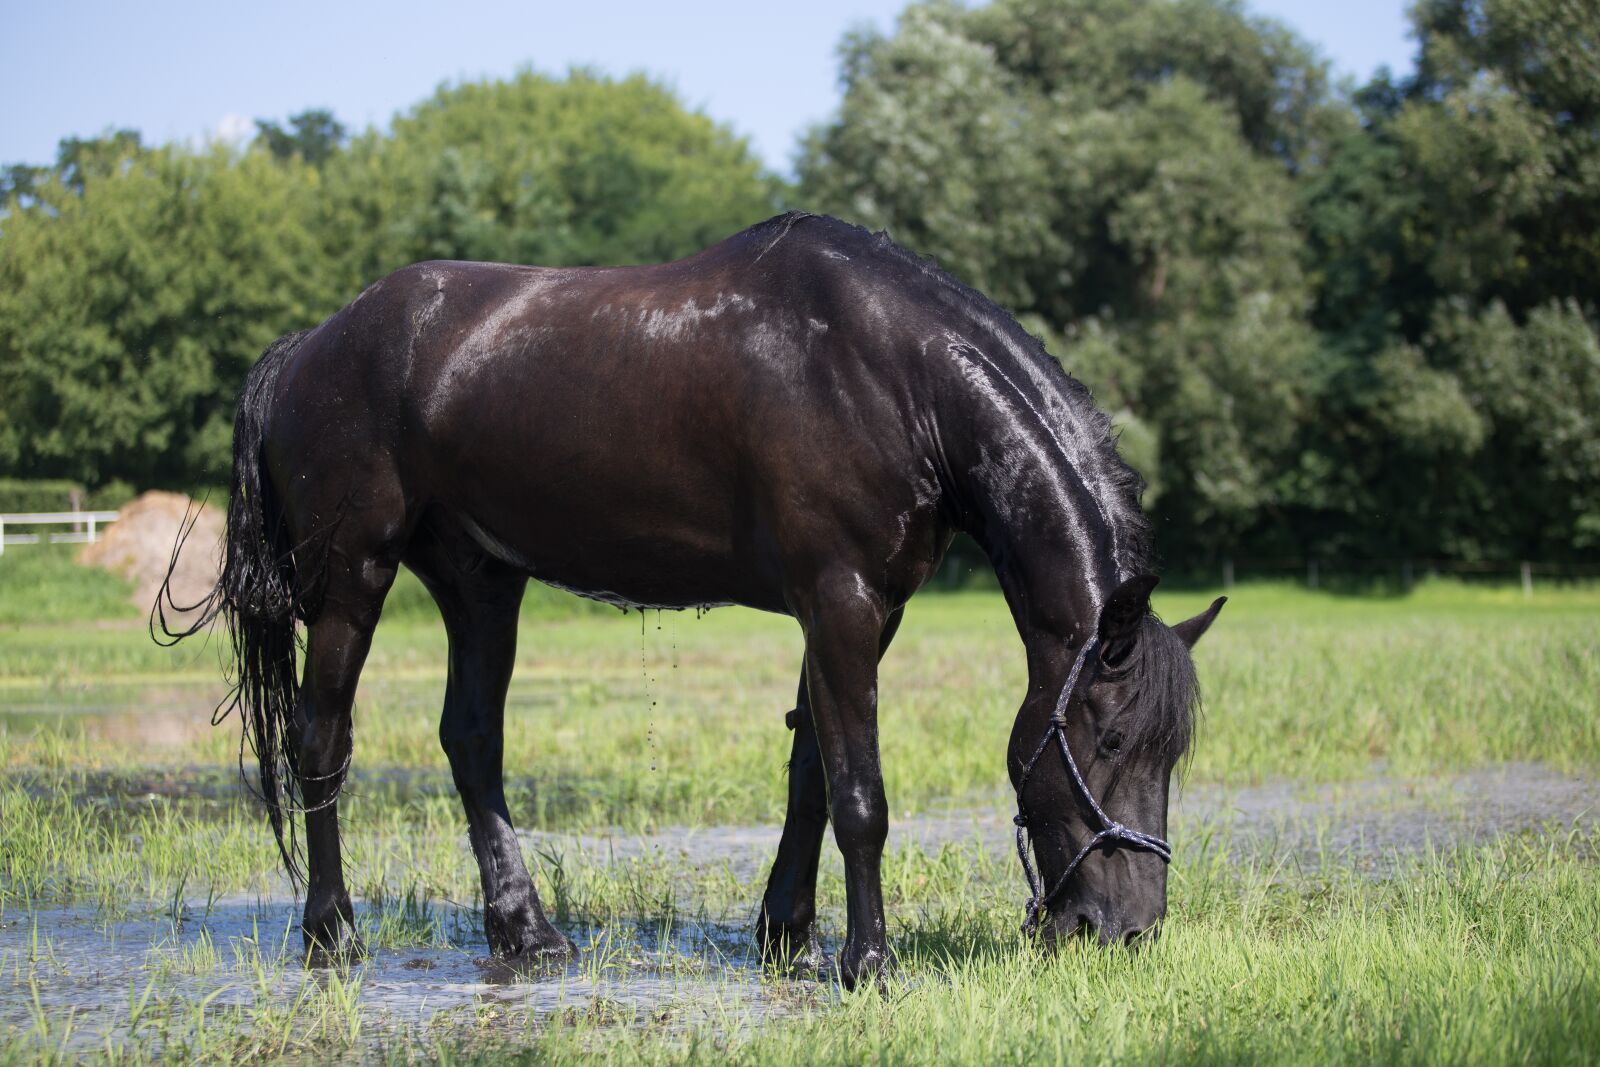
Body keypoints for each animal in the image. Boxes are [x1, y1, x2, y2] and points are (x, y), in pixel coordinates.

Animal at [161, 212, 1224, 988]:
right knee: (320, 741)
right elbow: (862, 796)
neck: (888, 373)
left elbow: (811, 774)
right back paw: (333, 935)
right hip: (355, 580)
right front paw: (868, 962)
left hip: (480, 583)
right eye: (1110, 739)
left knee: (471, 743)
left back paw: (526, 933)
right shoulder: (840, 602)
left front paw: (786, 933)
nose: (1131, 930)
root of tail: (310, 344)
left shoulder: (855, 612)